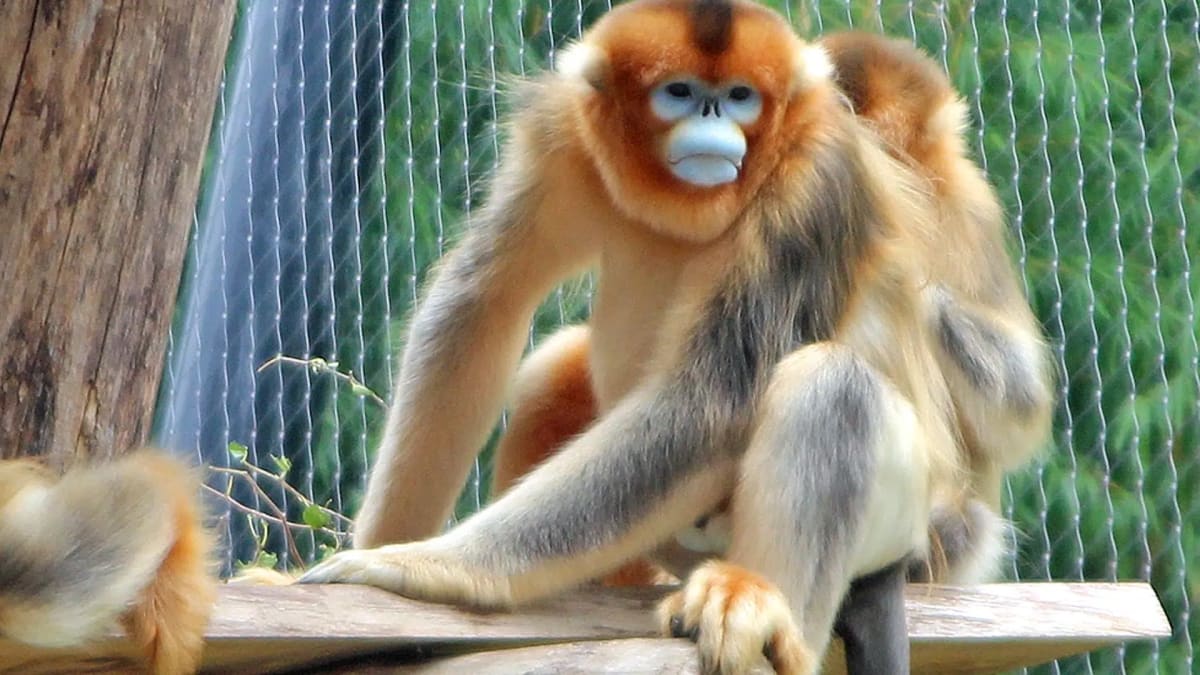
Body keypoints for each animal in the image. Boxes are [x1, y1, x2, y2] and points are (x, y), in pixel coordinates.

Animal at [301, 2, 1052, 673]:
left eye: (741, 97)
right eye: (680, 92)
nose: (713, 120)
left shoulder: (817, 175)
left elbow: (708, 405)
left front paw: (422, 564)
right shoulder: (564, 132)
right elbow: (479, 303)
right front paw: (386, 543)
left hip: (911, 530)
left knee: (832, 387)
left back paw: (763, 616)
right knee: (554, 367)